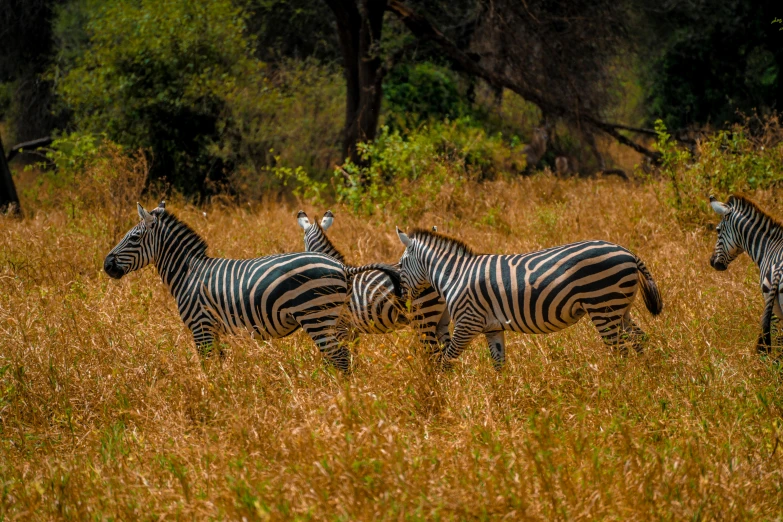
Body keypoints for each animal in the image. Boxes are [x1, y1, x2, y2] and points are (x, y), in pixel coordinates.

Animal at [102, 200, 402, 370]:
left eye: (133, 237)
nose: (106, 264)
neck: (188, 273)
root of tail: (341, 266)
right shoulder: (214, 330)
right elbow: (220, 365)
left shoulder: (201, 326)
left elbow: (207, 367)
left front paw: (210, 397)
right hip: (337, 319)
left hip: (317, 316)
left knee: (339, 360)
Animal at [398, 229, 660, 370]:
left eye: (400, 265)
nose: (401, 298)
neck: (455, 275)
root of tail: (628, 252)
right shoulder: (492, 328)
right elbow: (499, 364)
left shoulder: (467, 322)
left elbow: (446, 360)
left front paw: (442, 392)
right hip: (619, 307)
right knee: (638, 338)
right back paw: (644, 375)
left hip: (602, 305)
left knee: (620, 349)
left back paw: (619, 381)